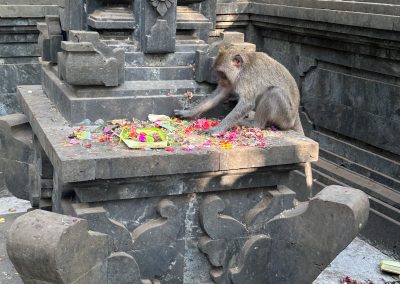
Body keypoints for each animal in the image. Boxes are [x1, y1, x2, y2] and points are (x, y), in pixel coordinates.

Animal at [174, 45, 304, 136]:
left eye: (223, 74)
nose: (222, 81)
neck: (243, 67)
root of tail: (295, 117)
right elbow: (221, 93)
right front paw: (188, 113)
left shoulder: (246, 78)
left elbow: (247, 104)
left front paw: (216, 129)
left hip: (285, 117)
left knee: (274, 92)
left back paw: (255, 124)